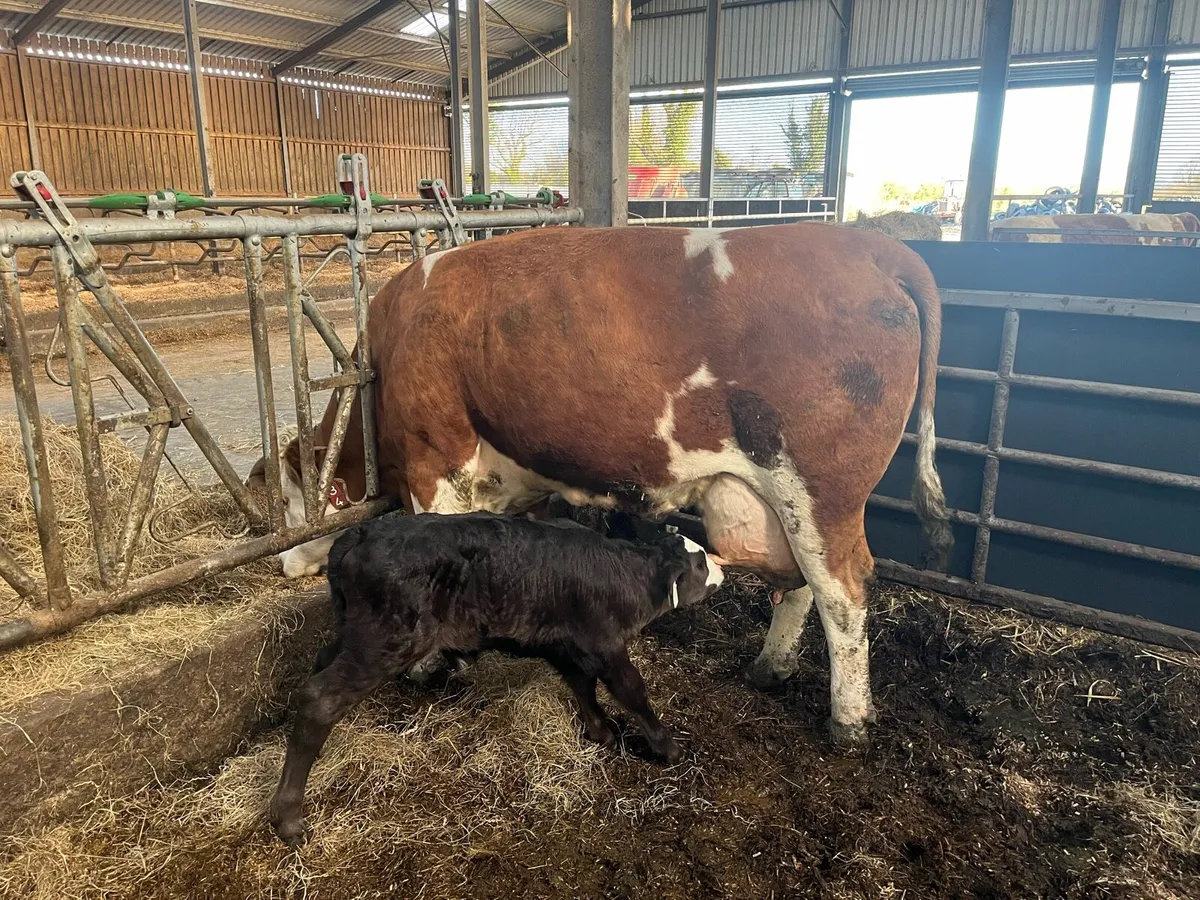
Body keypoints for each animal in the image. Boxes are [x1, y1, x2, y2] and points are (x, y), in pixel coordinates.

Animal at [250, 222, 953, 745]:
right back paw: (770, 667)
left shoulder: (436, 460)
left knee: (843, 589)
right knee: (804, 584)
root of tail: (867, 246)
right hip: (786, 500)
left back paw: (849, 722)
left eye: (288, 496)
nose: (282, 560)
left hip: (818, 485)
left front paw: (427, 664)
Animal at [268, 510, 725, 846]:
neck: (628, 575)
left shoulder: (567, 644)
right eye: (700, 562)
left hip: (356, 632)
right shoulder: (606, 646)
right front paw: (668, 747)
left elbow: (582, 685)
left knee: (321, 661)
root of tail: (363, 530)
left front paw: (600, 732)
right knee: (319, 698)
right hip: (388, 639)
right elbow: (632, 691)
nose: (722, 572)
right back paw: (287, 817)